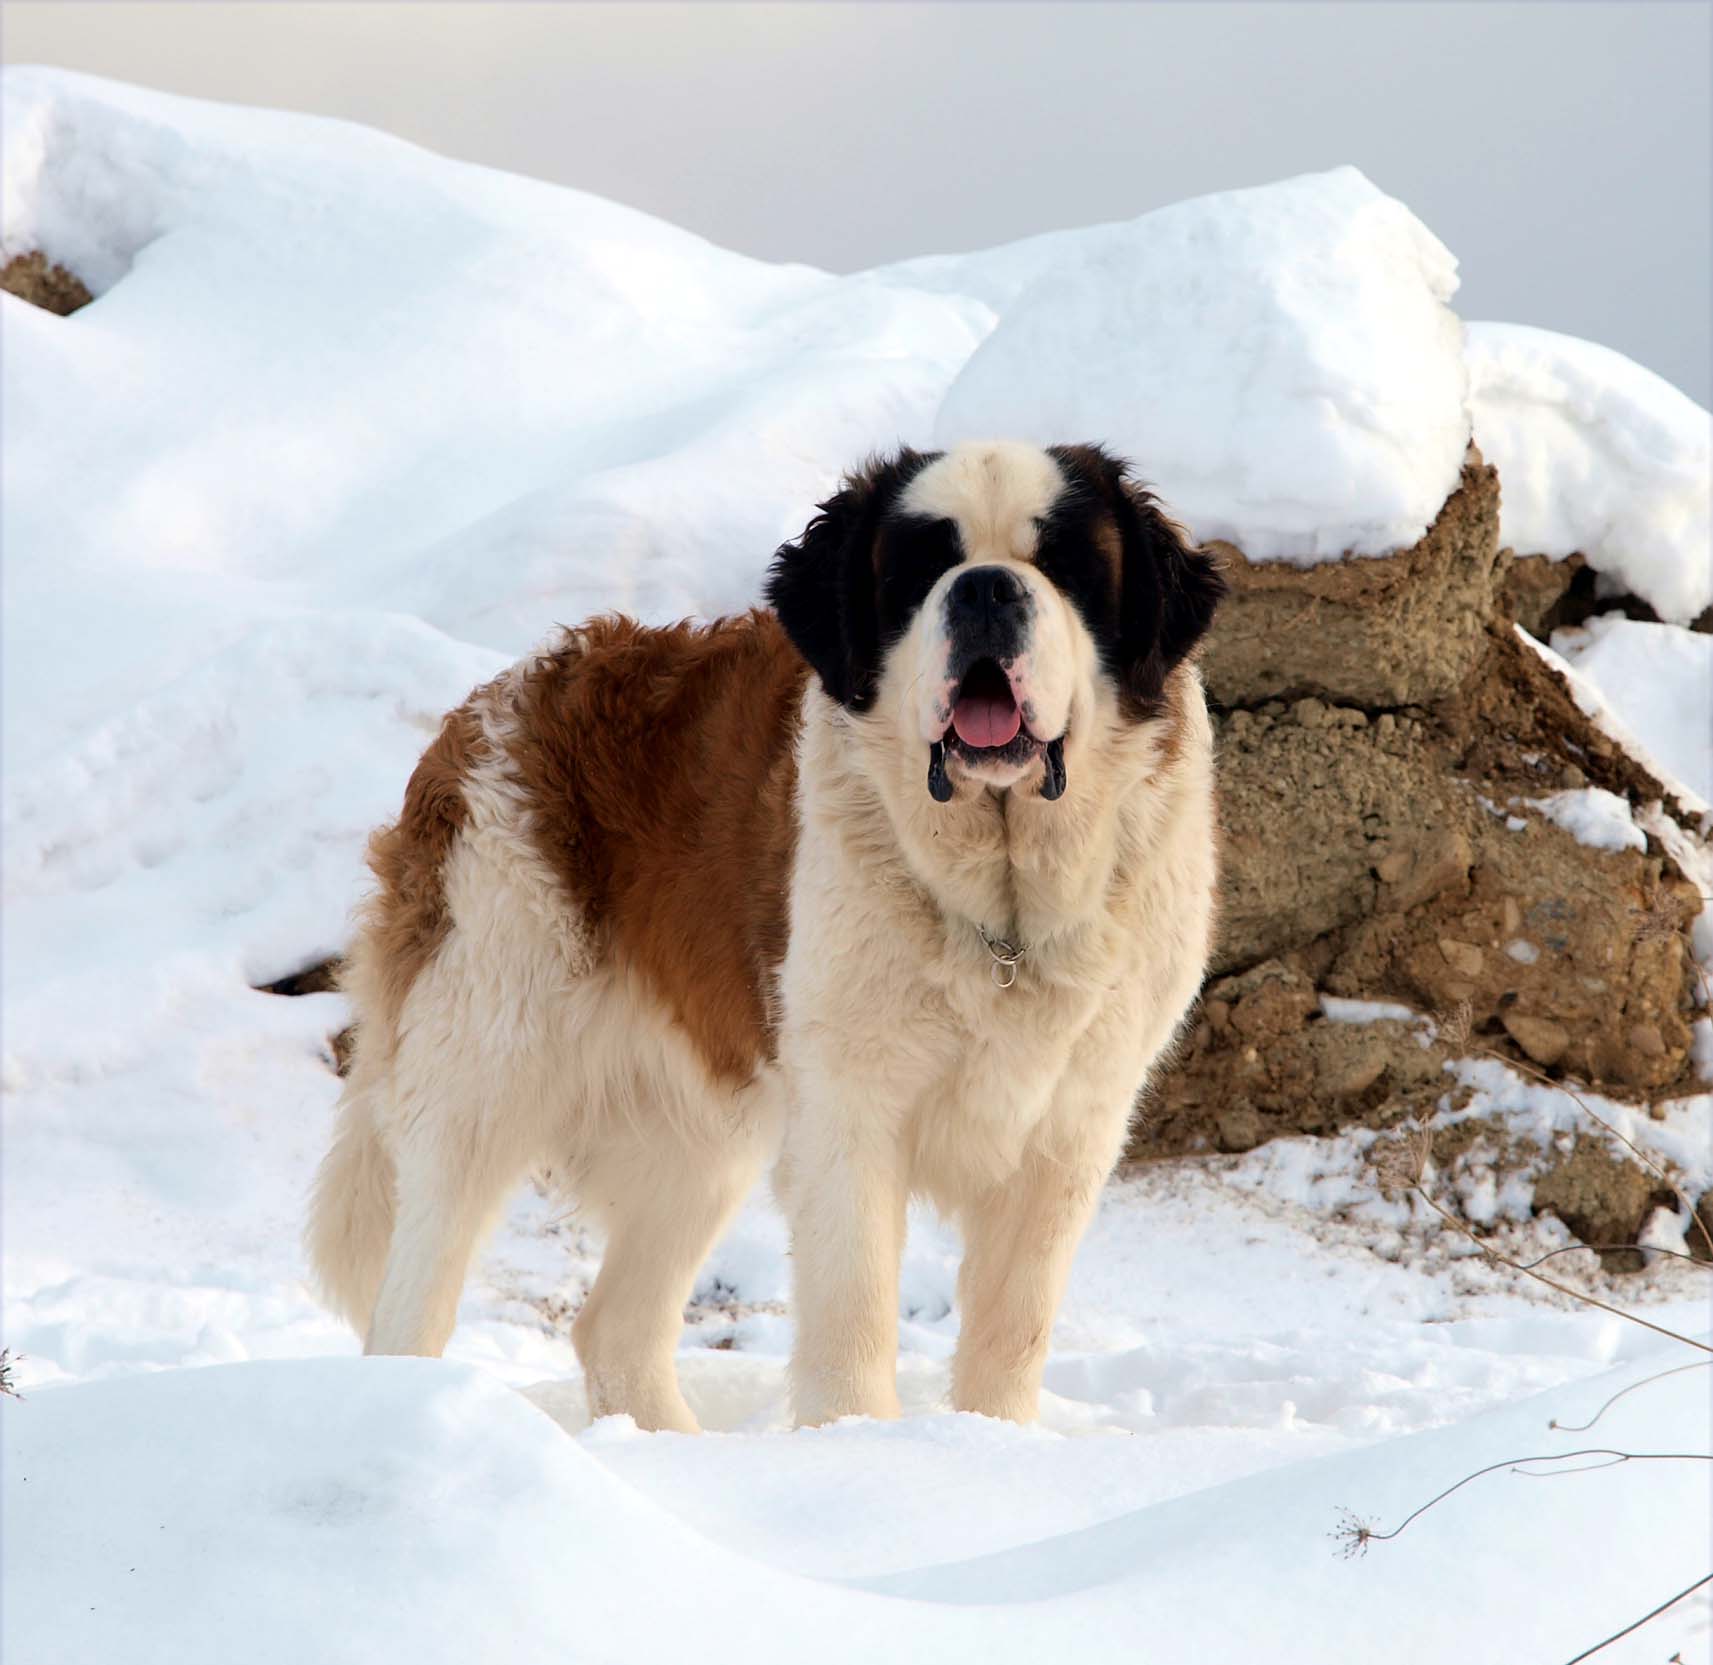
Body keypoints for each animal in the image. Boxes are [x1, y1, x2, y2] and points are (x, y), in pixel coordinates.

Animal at [304, 438, 1219, 1432]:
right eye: (917, 569)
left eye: (1063, 564)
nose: (983, 589)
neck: (1001, 897)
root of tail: (486, 708)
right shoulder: (848, 1111)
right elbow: (853, 1302)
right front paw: (854, 1440)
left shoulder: (1070, 1130)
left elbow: (1014, 1325)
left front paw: (988, 1440)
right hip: (485, 1052)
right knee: (416, 1287)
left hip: (696, 1136)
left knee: (615, 1327)